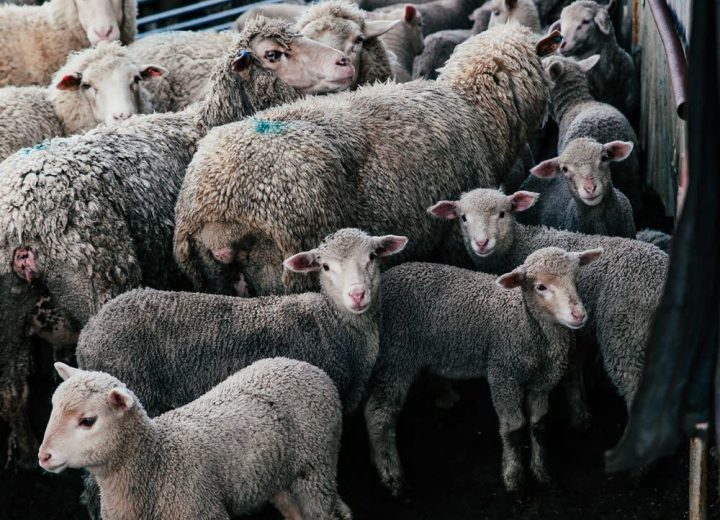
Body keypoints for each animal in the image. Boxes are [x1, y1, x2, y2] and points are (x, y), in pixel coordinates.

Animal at [40, 359, 351, 520]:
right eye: (52, 407)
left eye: (88, 420)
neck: (158, 463)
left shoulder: (201, 510)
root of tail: (307, 366)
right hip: (276, 476)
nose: (43, 456)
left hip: (317, 465)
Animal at [365, 247, 599, 496]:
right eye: (541, 287)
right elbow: (514, 428)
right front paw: (514, 479)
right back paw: (393, 477)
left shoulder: (541, 382)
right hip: (395, 356)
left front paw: (542, 474)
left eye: (575, 278)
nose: (579, 315)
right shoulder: (503, 374)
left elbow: (538, 426)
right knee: (378, 414)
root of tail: (388, 277)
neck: (526, 321)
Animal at [427, 188, 668, 423]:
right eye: (463, 217)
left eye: (502, 213)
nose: (481, 243)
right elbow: (573, 367)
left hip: (625, 336)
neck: (518, 246)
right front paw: (580, 411)